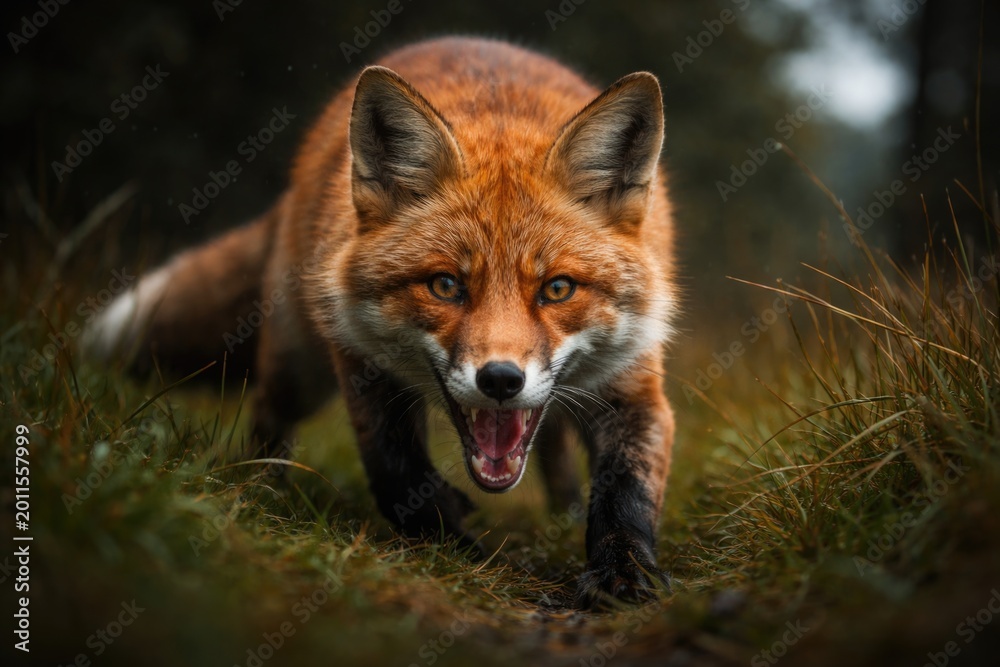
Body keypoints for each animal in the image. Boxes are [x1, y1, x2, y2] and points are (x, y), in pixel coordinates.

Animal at [86, 36, 678, 607]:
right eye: (445, 285)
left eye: (557, 289)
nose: (501, 380)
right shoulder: (358, 357)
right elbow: (394, 469)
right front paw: (449, 543)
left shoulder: (633, 384)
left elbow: (627, 491)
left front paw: (624, 573)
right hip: (297, 368)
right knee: (267, 418)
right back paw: (262, 492)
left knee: (553, 445)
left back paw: (564, 511)